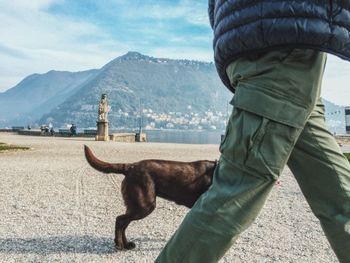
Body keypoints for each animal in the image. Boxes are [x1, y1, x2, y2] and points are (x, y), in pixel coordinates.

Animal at [85, 146, 216, 252]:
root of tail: (130, 166)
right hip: (145, 205)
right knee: (120, 220)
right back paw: (120, 245)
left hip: (136, 205)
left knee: (124, 223)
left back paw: (126, 244)